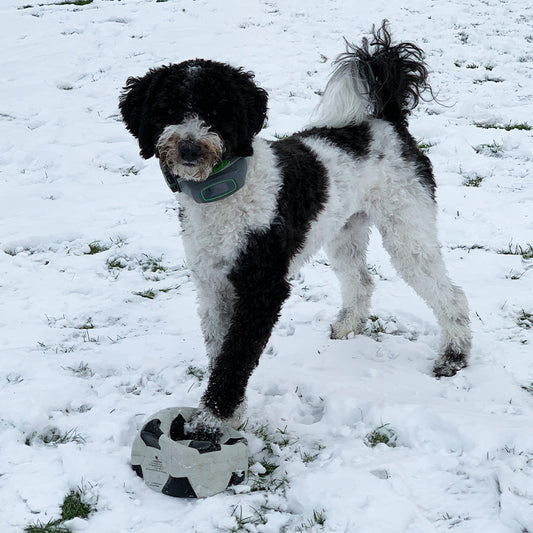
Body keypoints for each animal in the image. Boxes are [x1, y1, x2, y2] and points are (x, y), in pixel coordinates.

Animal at [119, 22, 470, 438]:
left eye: (217, 111)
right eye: (168, 110)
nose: (189, 148)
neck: (227, 189)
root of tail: (387, 122)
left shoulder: (262, 286)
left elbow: (236, 355)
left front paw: (214, 421)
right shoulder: (213, 284)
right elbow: (220, 349)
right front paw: (230, 414)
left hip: (407, 228)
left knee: (451, 294)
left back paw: (454, 355)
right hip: (343, 231)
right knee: (361, 281)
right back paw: (347, 327)